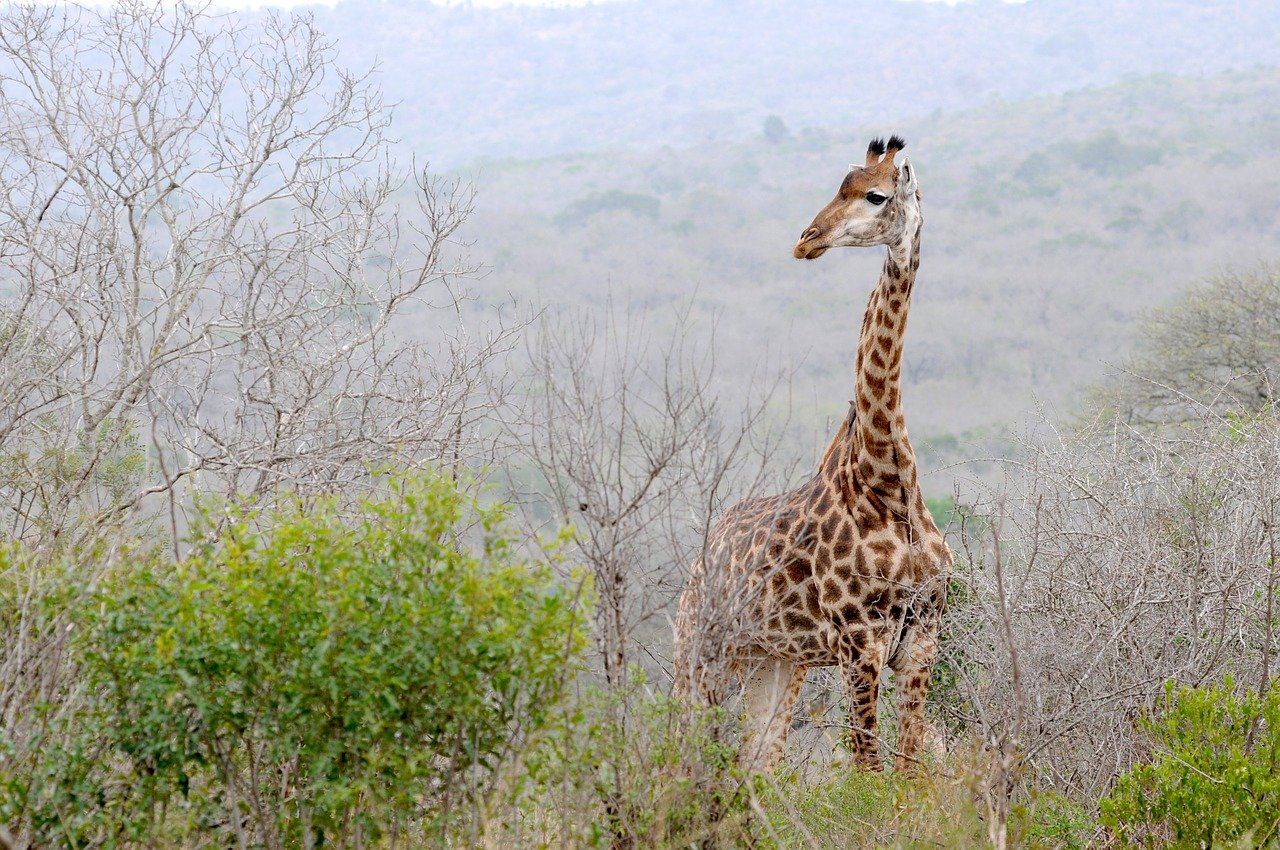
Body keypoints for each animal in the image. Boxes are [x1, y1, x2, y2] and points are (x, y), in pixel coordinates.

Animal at [670, 136, 952, 773]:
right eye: (839, 185)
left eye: (875, 195)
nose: (807, 239)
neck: (887, 478)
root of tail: (696, 568)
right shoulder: (858, 644)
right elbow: (869, 773)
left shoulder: (921, 641)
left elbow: (907, 771)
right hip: (698, 654)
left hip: (773, 664)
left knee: (757, 767)